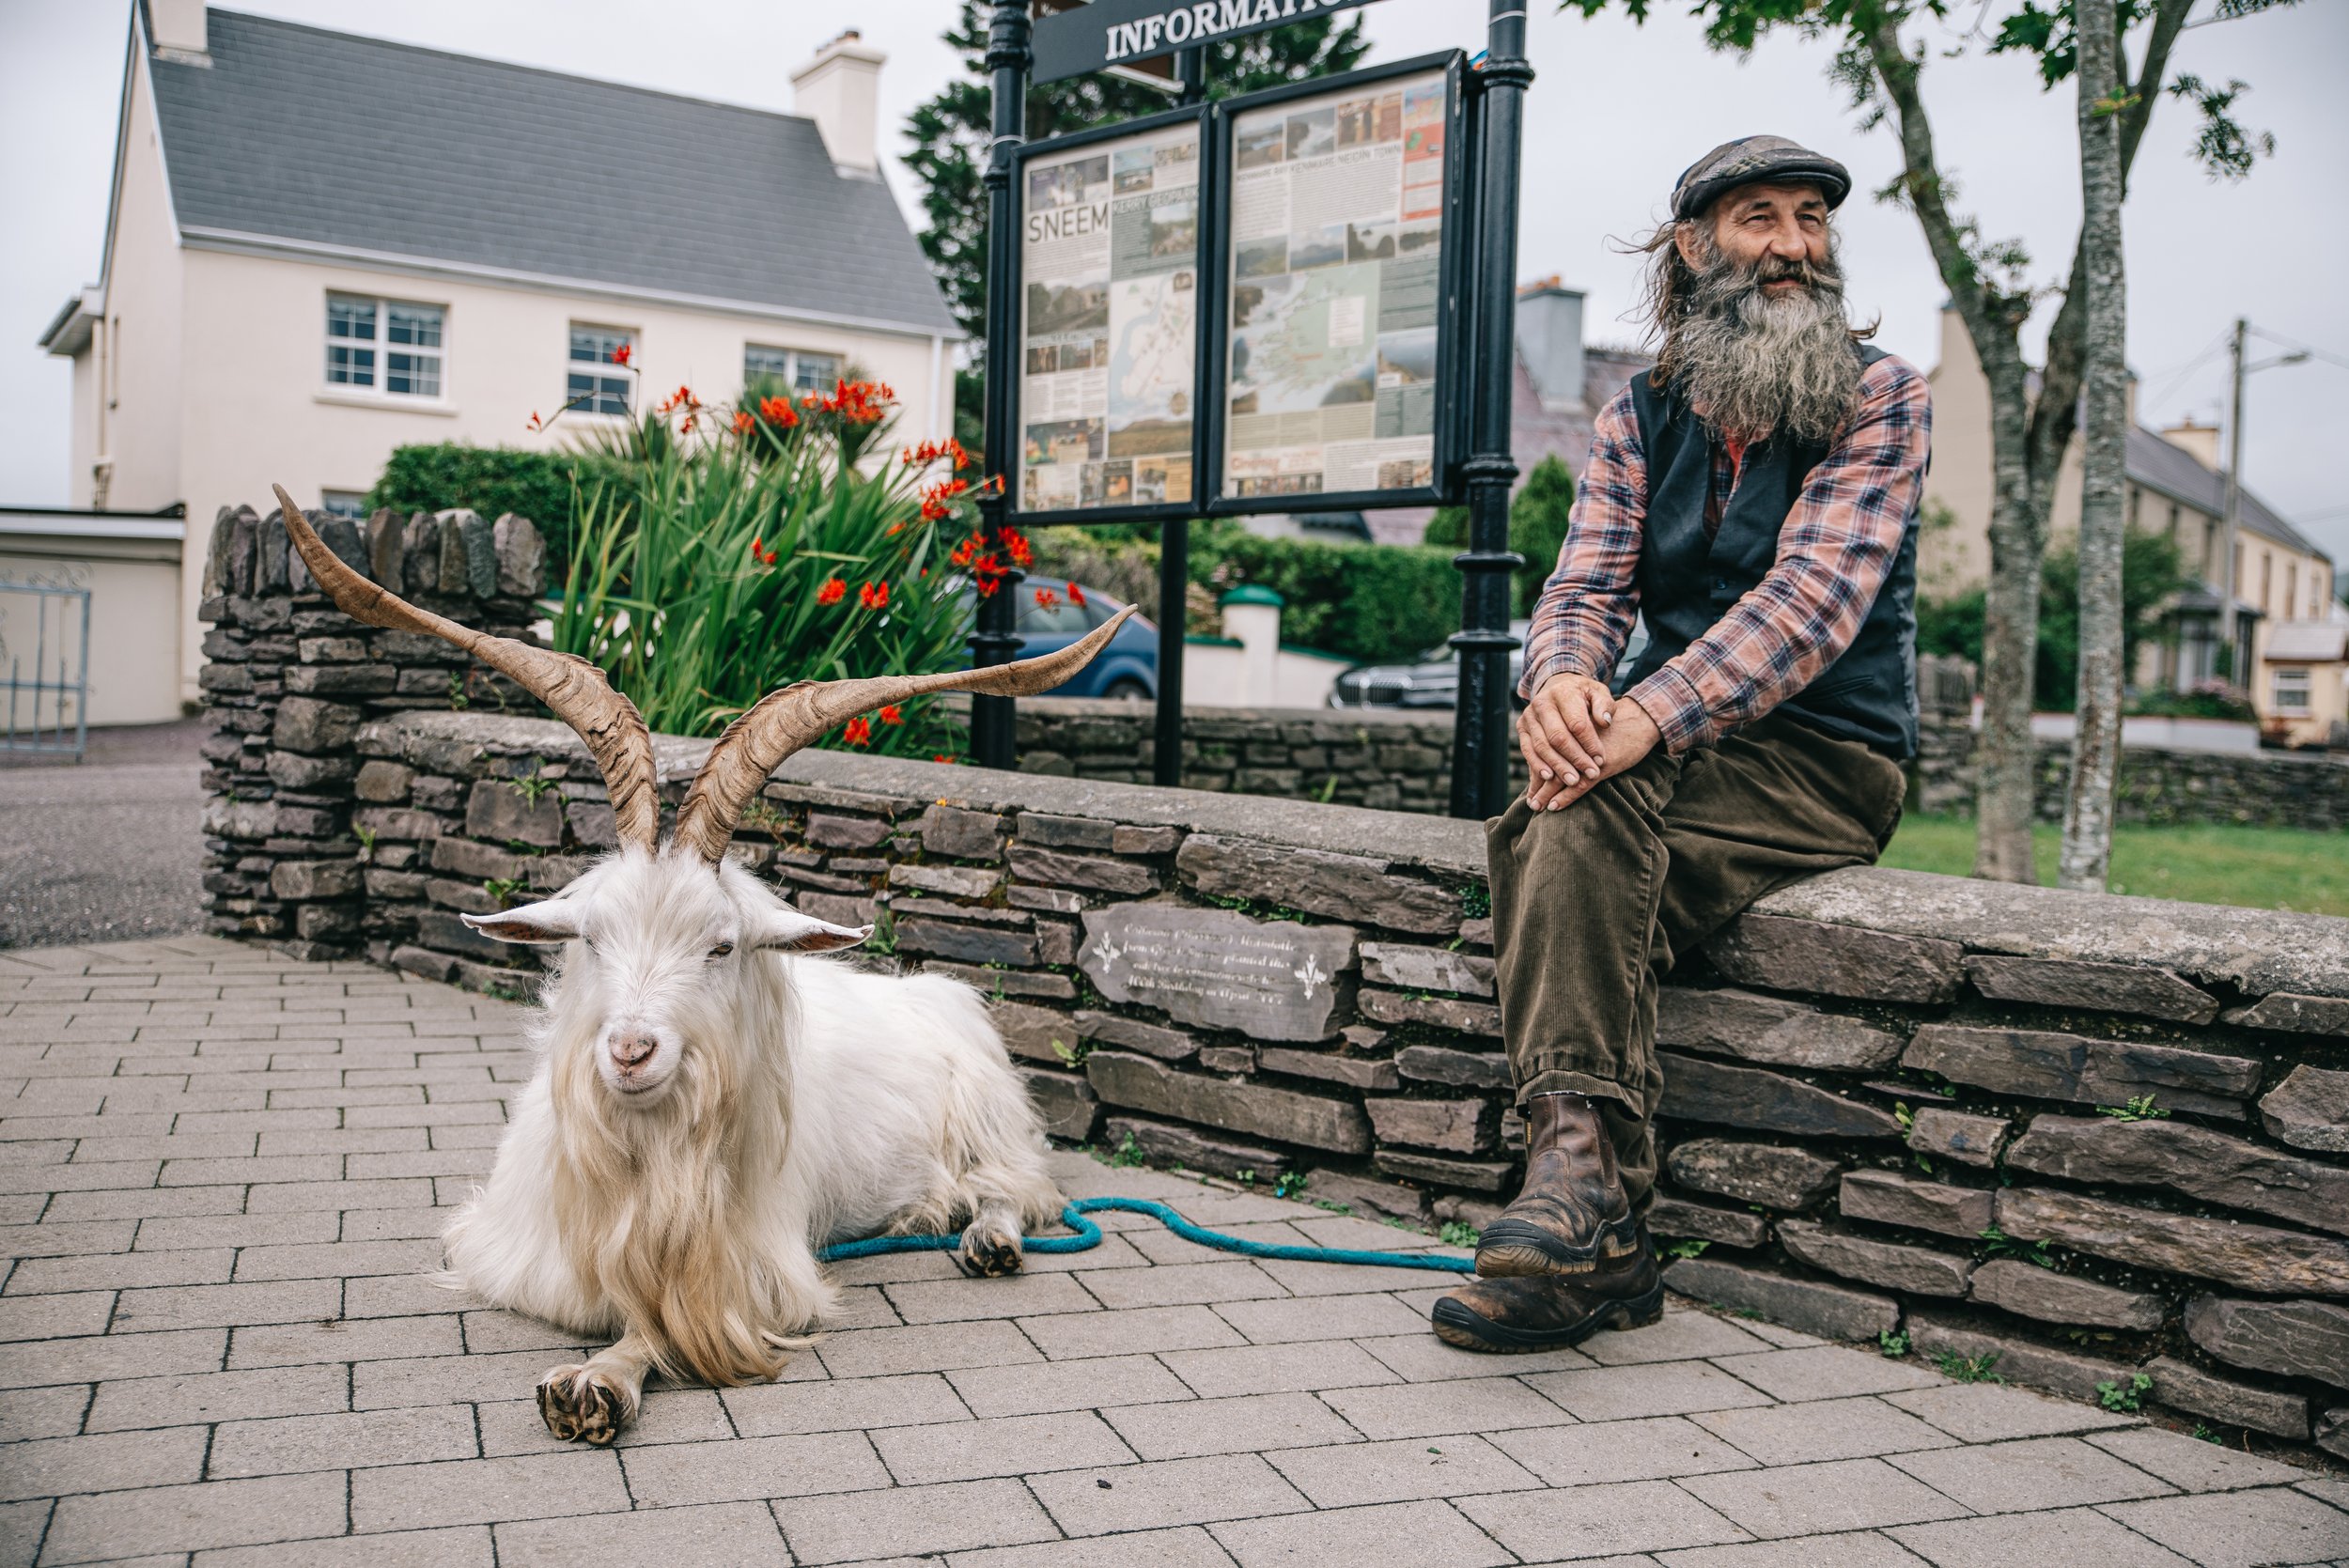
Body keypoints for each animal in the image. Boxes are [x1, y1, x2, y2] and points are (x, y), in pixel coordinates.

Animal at [270, 481, 1132, 1446]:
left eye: (719, 944)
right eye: (592, 937)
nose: (631, 1051)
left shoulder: (761, 1270)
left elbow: (669, 1325)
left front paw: (599, 1380)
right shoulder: (508, 1252)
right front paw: (590, 1381)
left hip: (992, 1116)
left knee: (1026, 1187)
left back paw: (990, 1239)